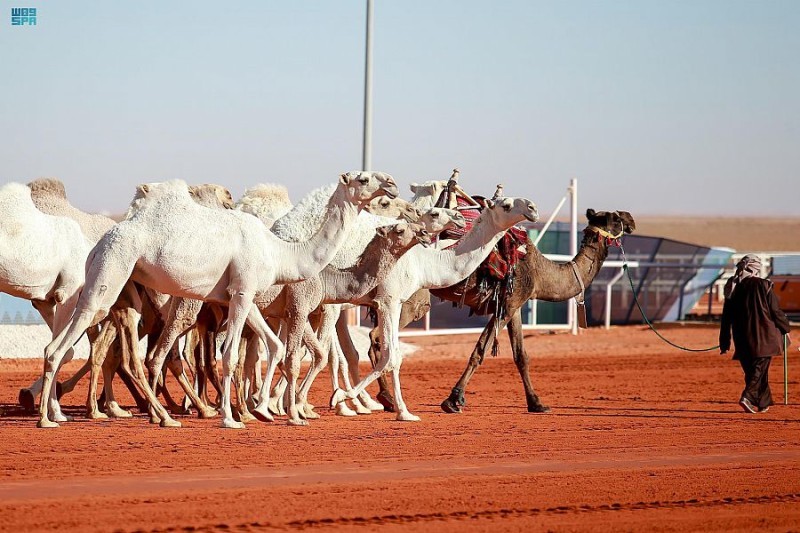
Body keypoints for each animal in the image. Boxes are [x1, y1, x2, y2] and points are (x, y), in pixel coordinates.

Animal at [39, 170, 398, 428]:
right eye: (363, 178)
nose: (392, 184)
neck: (280, 252)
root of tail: (100, 241)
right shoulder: (243, 290)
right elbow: (229, 355)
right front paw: (232, 418)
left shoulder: (243, 294)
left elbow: (271, 346)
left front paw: (262, 410)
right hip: (111, 270)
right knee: (67, 343)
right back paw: (49, 418)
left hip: (116, 283)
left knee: (65, 343)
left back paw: (160, 417)